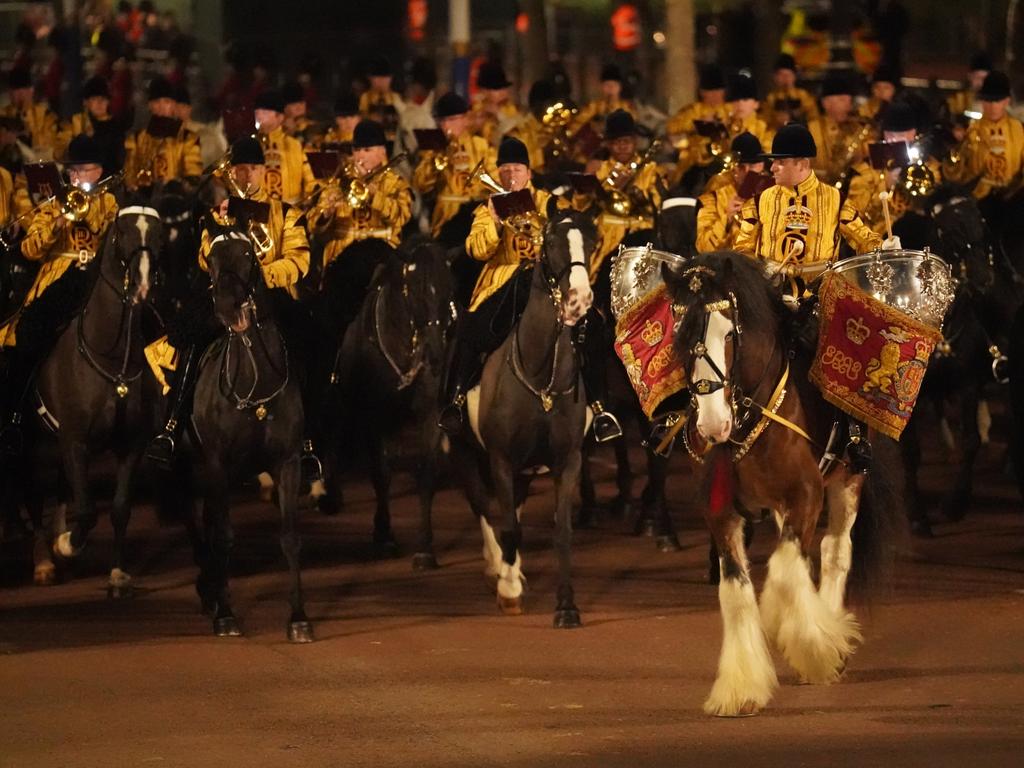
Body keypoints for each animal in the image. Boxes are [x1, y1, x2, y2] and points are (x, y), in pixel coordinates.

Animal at [186, 230, 309, 643]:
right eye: (211, 258)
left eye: (247, 254)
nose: (226, 306)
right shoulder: (216, 464)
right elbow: (224, 536)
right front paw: (225, 615)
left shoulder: (288, 463)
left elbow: (290, 537)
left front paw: (299, 618)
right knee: (199, 526)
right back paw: (209, 592)